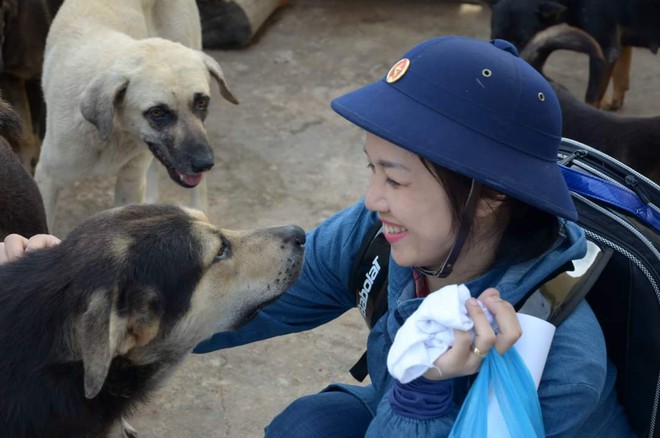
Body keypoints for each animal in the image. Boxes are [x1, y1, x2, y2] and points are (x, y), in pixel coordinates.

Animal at [34, 0, 238, 231]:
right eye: (157, 112)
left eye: (202, 102)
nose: (205, 163)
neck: (113, 131)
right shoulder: (47, 180)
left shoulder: (130, 180)